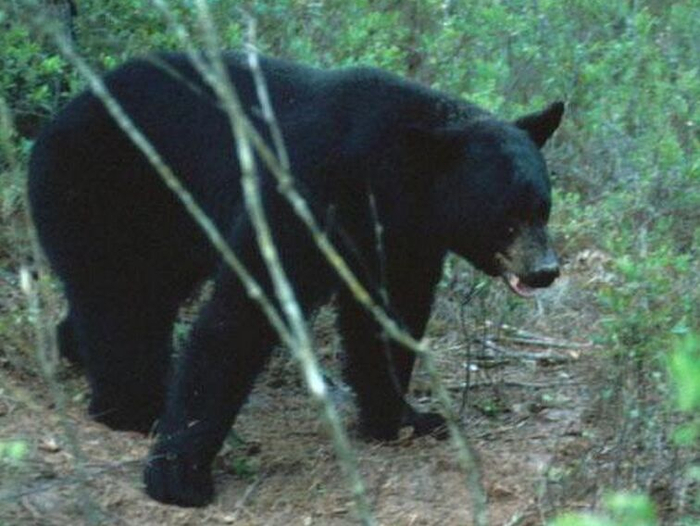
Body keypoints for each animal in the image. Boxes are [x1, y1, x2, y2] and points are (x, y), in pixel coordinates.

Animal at [28, 52, 563, 507]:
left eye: (542, 208)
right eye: (506, 219)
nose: (545, 271)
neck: (384, 176)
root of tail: (58, 116)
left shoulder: (398, 239)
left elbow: (387, 318)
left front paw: (404, 417)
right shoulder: (304, 192)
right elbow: (242, 313)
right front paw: (179, 475)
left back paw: (76, 351)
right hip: (106, 187)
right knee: (120, 298)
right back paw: (133, 407)